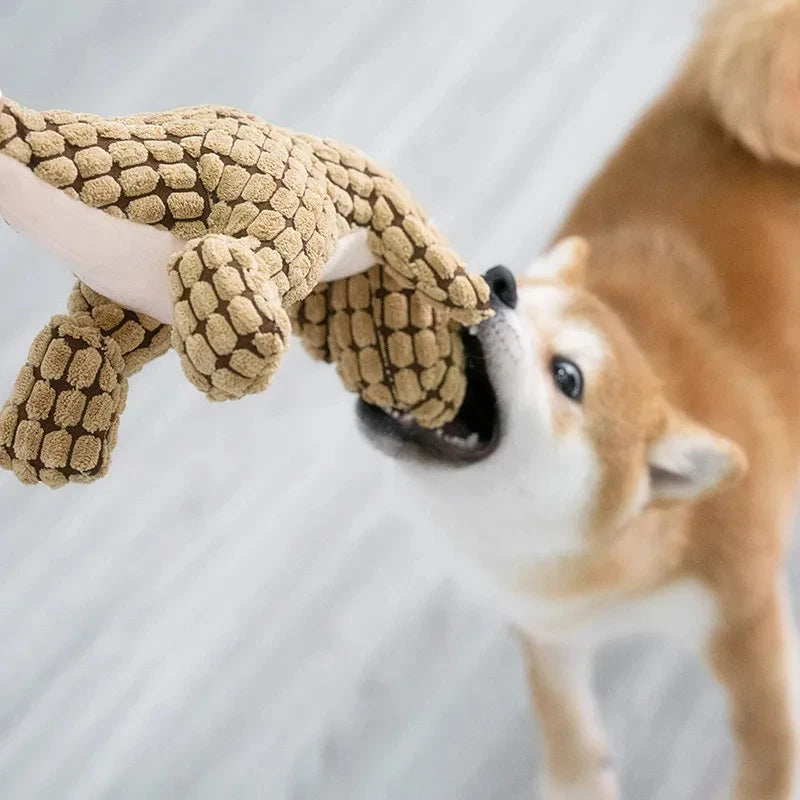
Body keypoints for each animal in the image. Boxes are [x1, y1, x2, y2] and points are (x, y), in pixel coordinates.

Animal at [360, 1, 800, 800]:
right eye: (517, 289)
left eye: (567, 376)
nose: (497, 281)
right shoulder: (547, 625)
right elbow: (561, 714)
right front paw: (575, 778)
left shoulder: (744, 617)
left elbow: (767, 738)